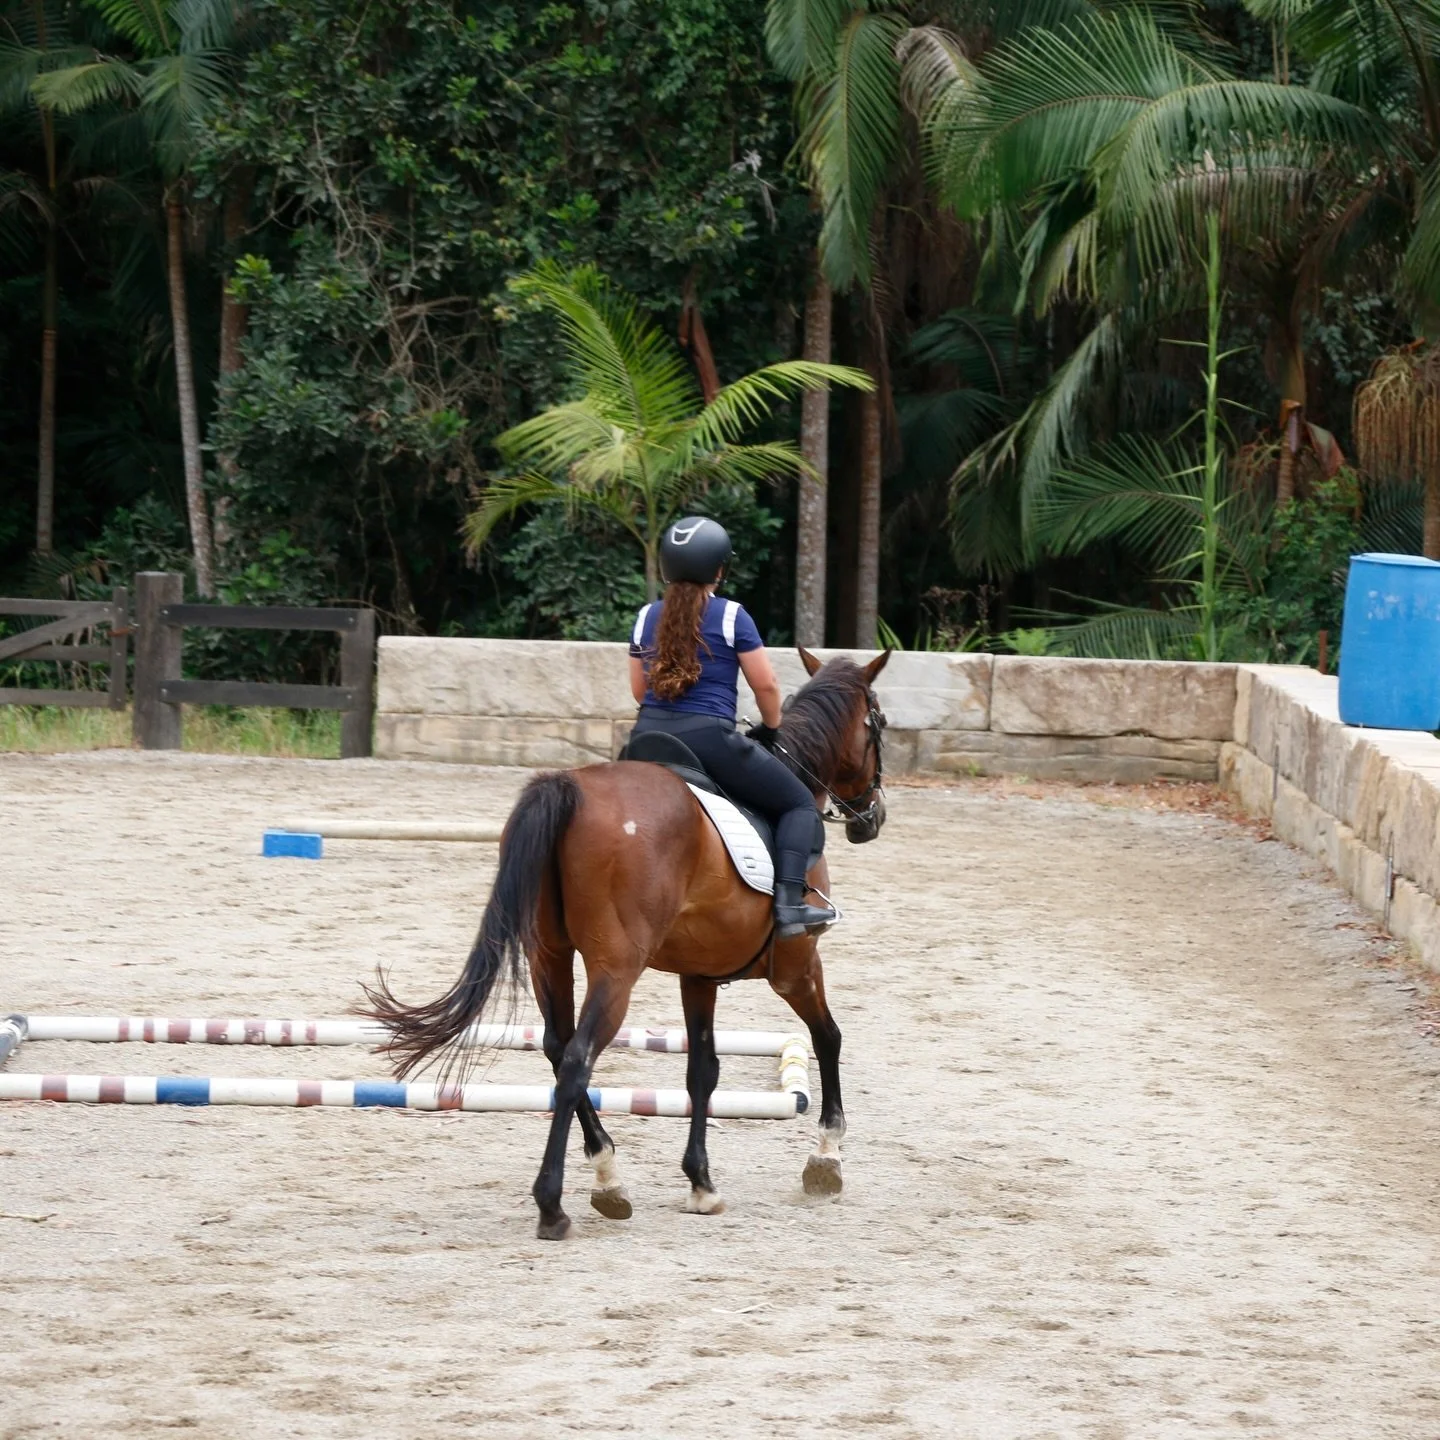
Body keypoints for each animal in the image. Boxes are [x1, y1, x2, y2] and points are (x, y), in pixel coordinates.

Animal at [363, 647, 890, 1240]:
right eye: (878, 724)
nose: (872, 818)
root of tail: (571, 788)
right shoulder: (797, 966)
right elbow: (829, 1039)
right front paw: (826, 1156)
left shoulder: (698, 975)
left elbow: (702, 1069)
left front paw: (701, 1182)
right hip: (617, 969)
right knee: (577, 1058)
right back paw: (555, 1205)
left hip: (549, 956)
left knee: (557, 1047)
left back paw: (608, 1178)